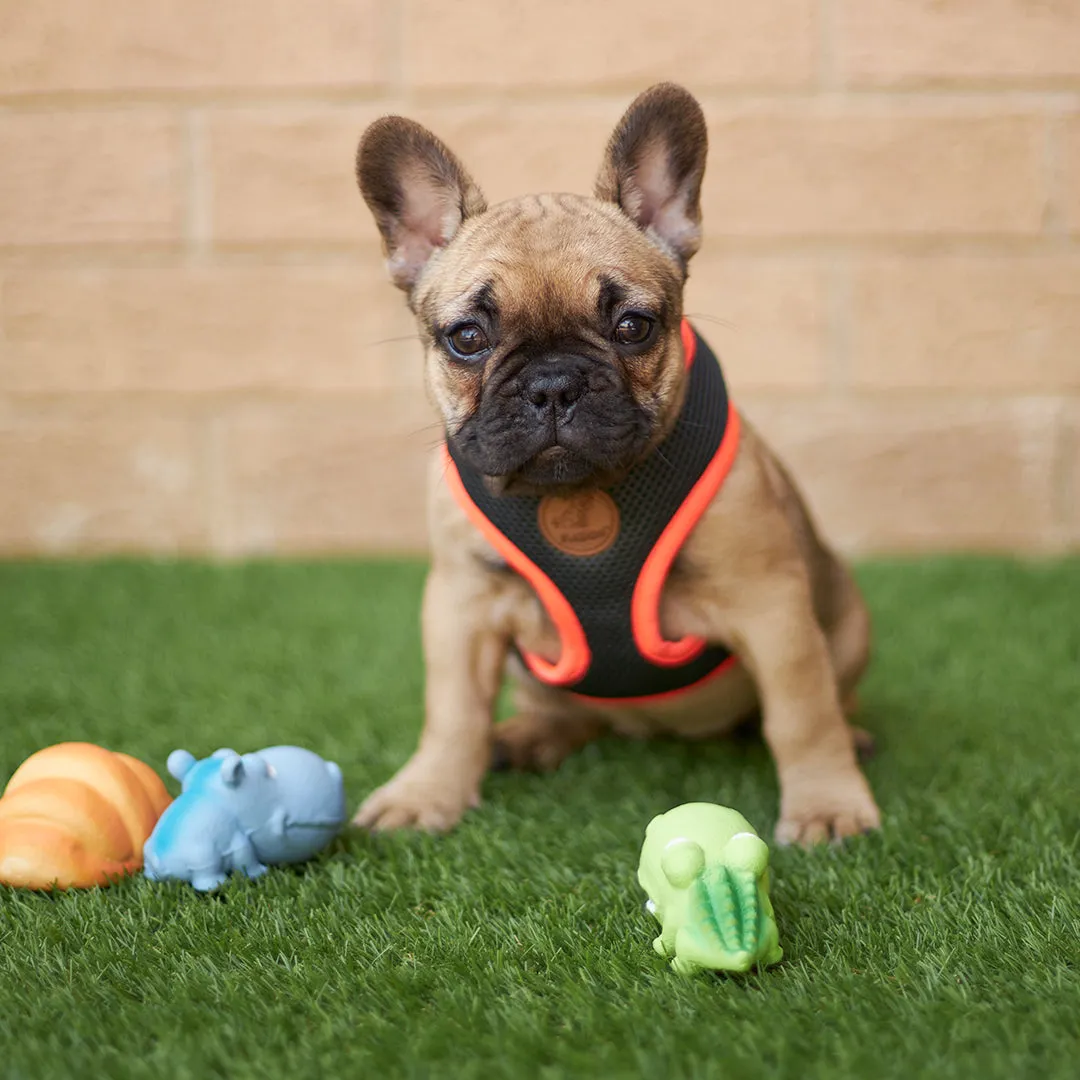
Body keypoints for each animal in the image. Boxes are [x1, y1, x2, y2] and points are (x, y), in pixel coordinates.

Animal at [352, 82, 876, 842]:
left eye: (633, 327)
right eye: (467, 338)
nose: (552, 384)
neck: (578, 494)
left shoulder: (771, 605)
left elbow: (801, 716)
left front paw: (828, 803)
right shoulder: (462, 607)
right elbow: (452, 715)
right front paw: (426, 792)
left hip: (848, 621)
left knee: (829, 699)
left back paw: (855, 737)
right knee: (565, 712)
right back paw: (528, 737)